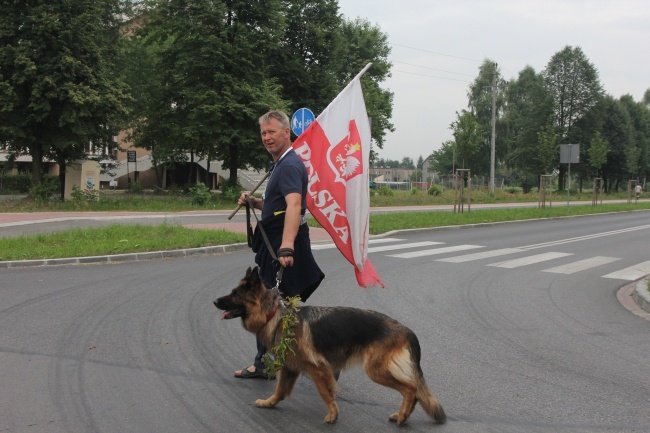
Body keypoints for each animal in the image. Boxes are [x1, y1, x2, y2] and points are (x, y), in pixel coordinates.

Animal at [213, 264, 446, 424]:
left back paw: (402, 417)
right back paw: (402, 415)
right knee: (414, 391)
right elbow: (279, 391)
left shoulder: (317, 369)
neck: (275, 315)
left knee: (411, 388)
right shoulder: (290, 368)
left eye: (235, 294)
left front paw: (333, 415)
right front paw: (268, 403)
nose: (214, 301)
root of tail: (406, 329)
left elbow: (325, 393)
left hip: (375, 370)